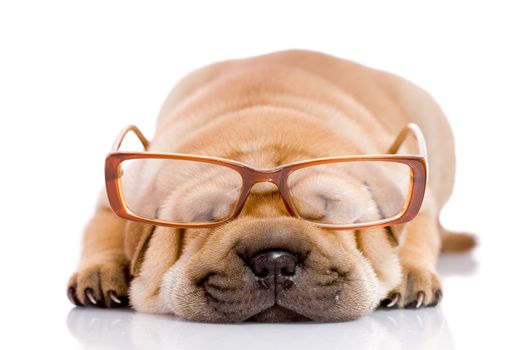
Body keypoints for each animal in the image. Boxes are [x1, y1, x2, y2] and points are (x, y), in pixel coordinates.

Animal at [66, 50, 474, 322]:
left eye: (329, 214)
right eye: (206, 219)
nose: (275, 261)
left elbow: (416, 232)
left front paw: (410, 273)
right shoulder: (119, 191)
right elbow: (105, 229)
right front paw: (101, 271)